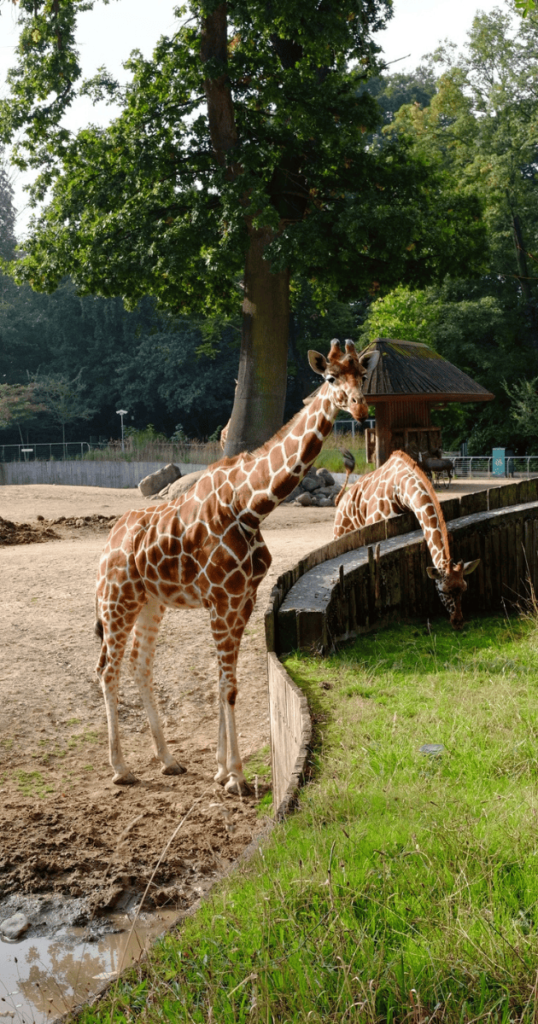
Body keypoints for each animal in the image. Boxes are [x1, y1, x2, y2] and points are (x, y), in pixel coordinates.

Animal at [94, 339, 377, 786]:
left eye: (362, 375)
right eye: (331, 378)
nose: (362, 411)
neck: (250, 505)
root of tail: (109, 542)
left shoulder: (243, 599)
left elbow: (225, 680)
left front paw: (219, 769)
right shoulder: (221, 599)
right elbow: (227, 685)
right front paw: (237, 777)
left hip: (150, 602)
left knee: (141, 665)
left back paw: (168, 760)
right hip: (116, 600)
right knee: (107, 669)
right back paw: (121, 769)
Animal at [332, 450, 477, 626]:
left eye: (464, 588)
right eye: (443, 590)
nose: (458, 621)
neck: (400, 489)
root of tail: (341, 500)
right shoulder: (374, 522)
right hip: (340, 532)